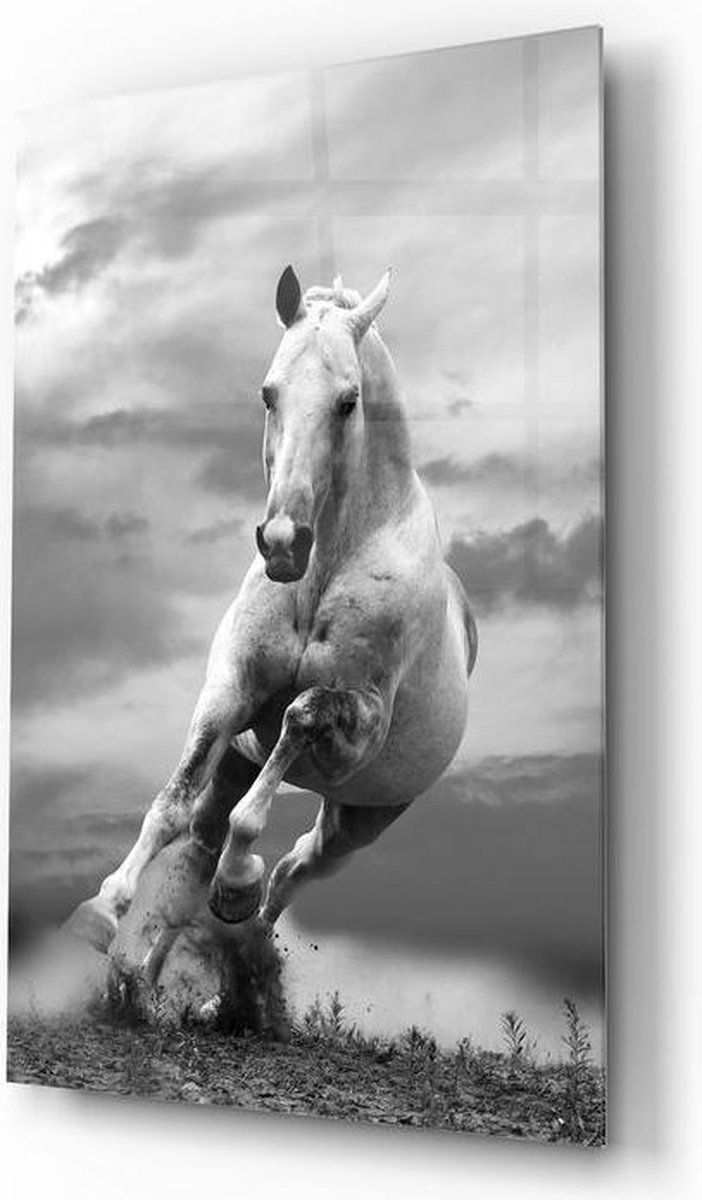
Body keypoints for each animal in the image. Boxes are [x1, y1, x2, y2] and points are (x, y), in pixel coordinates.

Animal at [67, 265, 478, 983]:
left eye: (348, 401)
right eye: (268, 393)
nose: (283, 541)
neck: (322, 573)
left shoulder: (357, 727)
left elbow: (297, 723)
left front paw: (238, 882)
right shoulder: (230, 690)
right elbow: (173, 803)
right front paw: (101, 909)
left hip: (359, 820)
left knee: (294, 868)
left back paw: (238, 939)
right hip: (241, 761)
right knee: (201, 845)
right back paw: (152, 978)